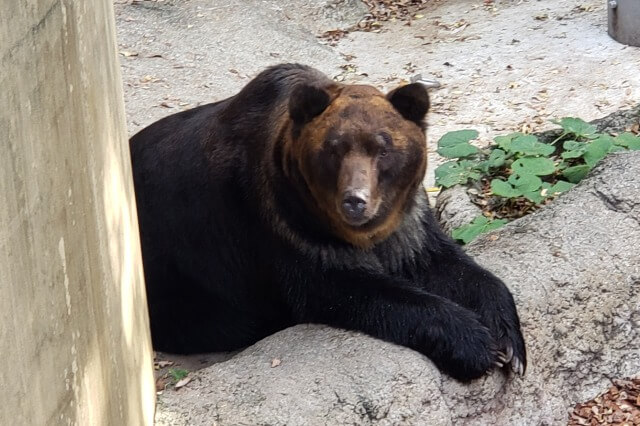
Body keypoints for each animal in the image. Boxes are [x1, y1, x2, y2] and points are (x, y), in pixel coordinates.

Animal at [130, 61, 524, 382]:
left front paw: (509, 343)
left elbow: (447, 265)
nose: (355, 201)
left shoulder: (406, 224)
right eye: (334, 148)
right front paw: (477, 345)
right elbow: (346, 288)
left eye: (383, 147)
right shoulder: (283, 225)